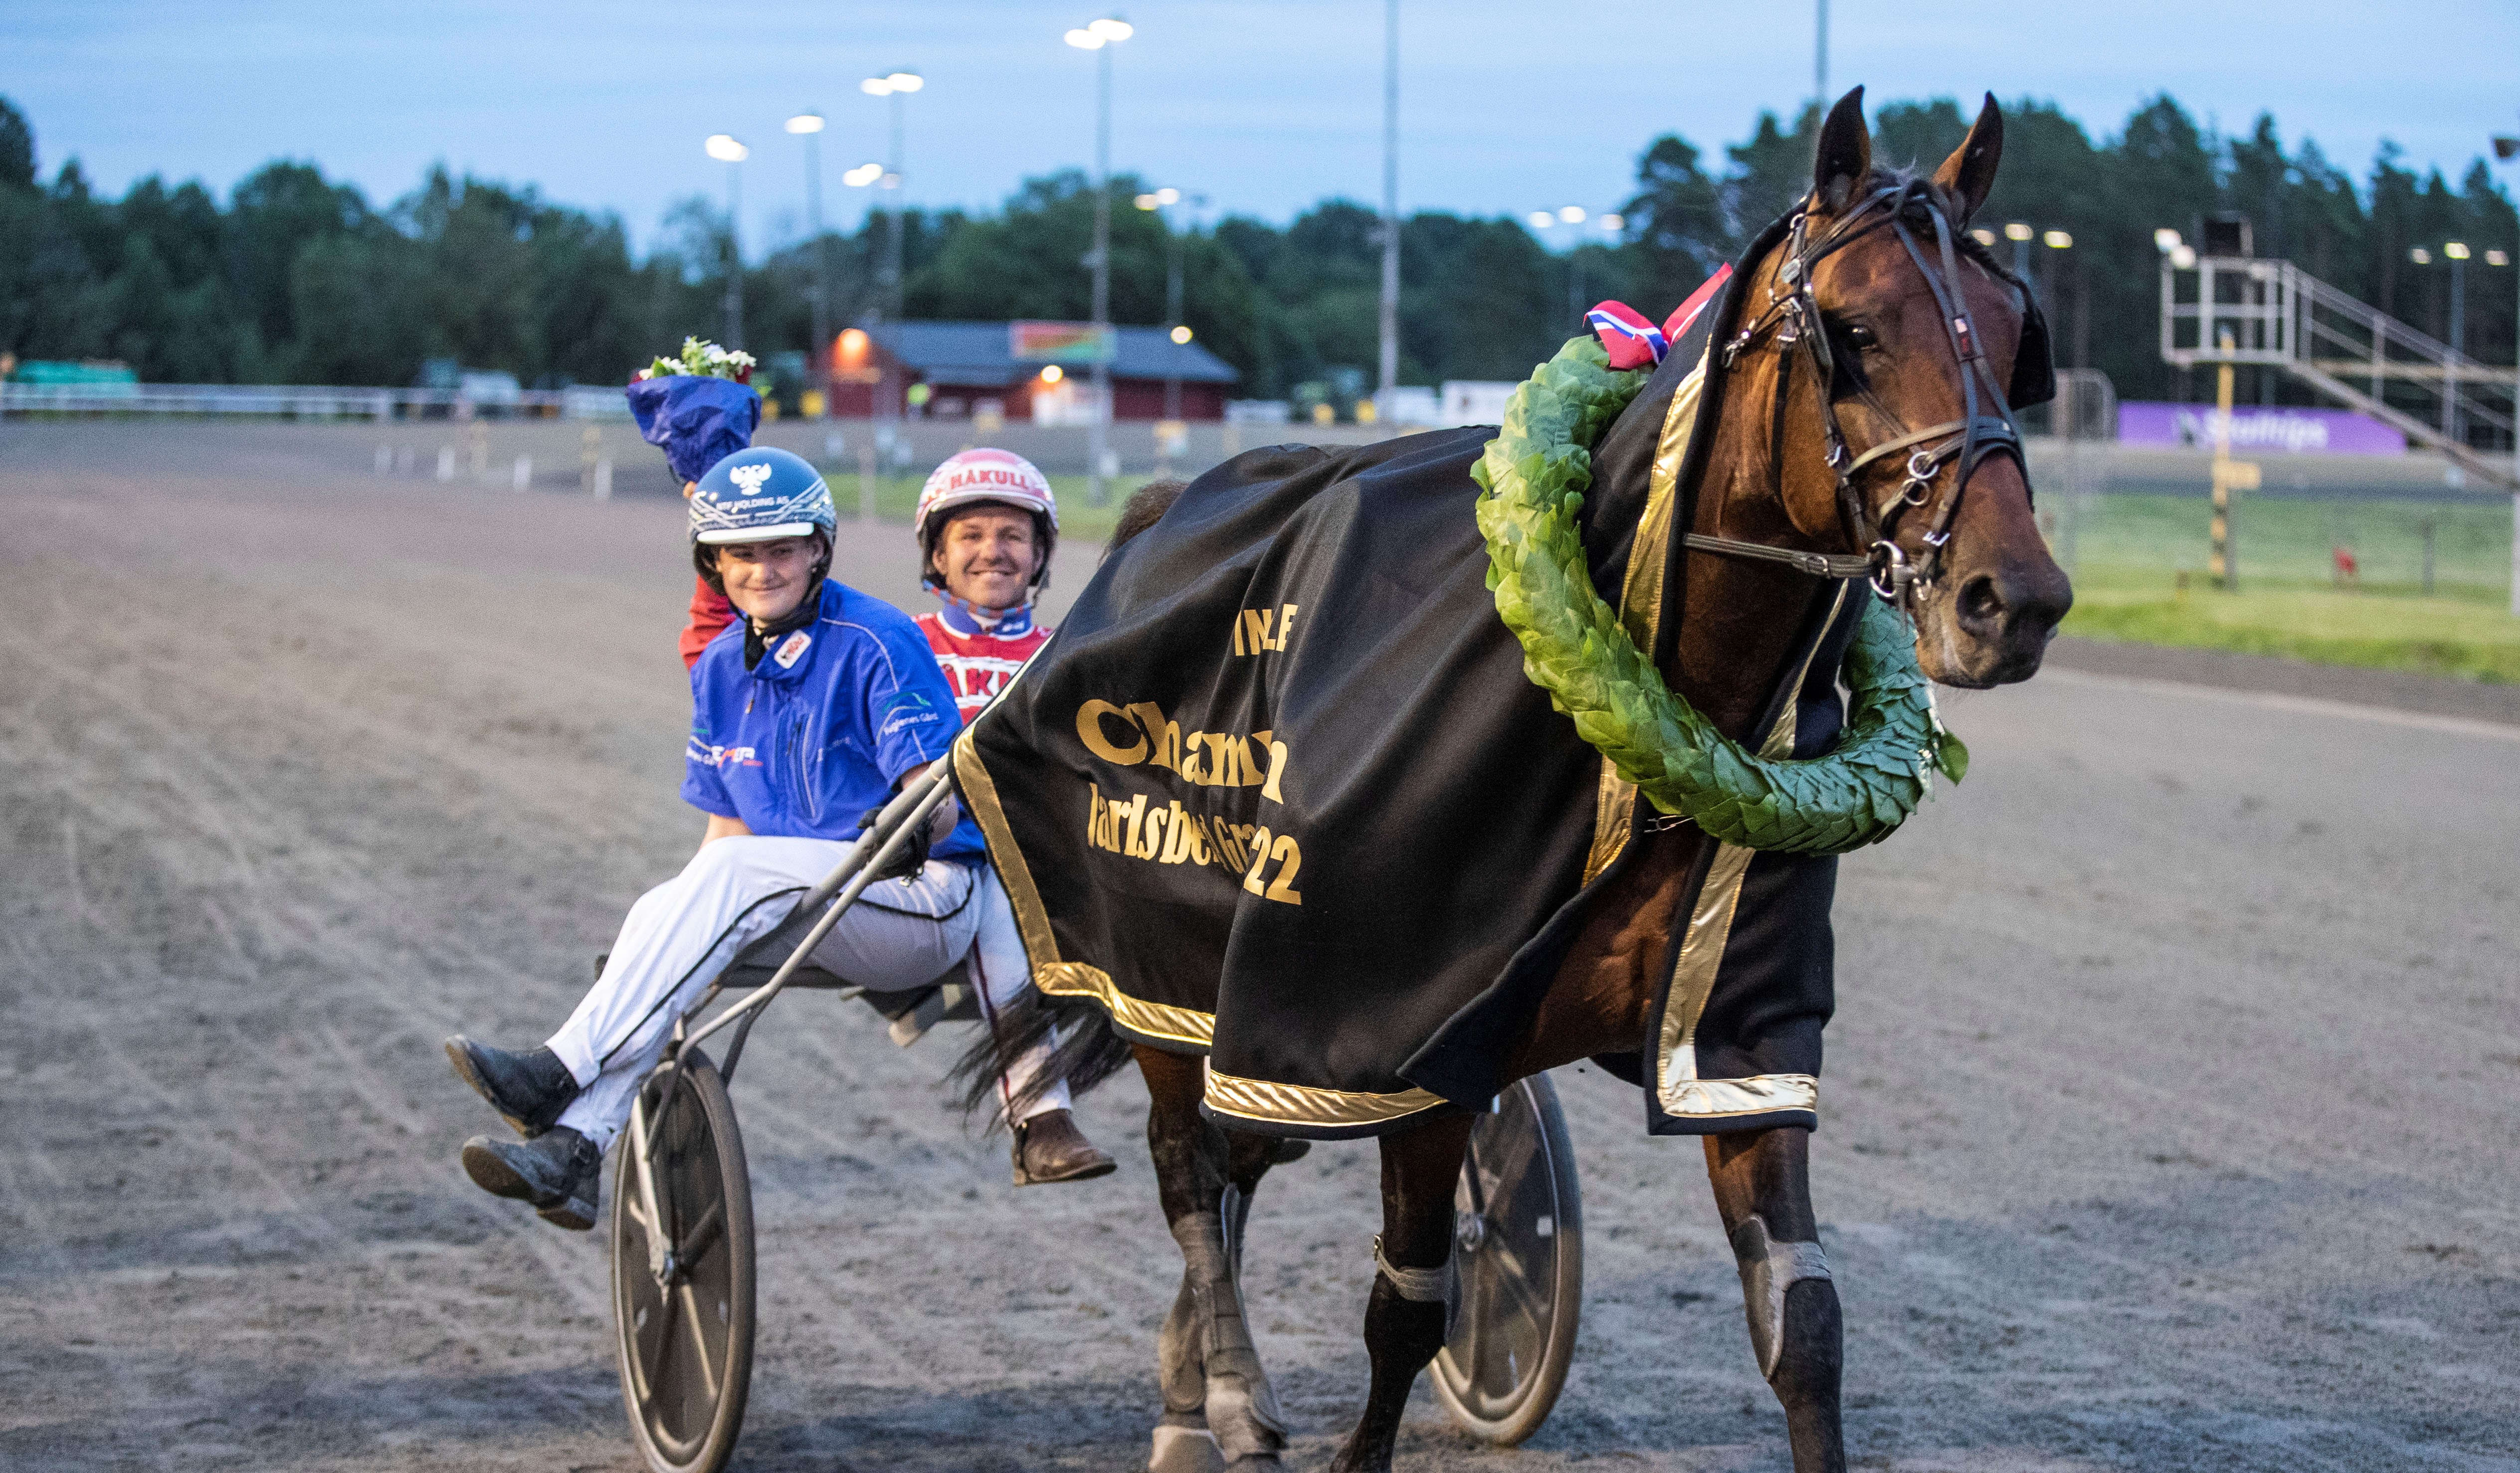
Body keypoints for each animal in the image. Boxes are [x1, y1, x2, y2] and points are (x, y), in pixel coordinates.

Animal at [965, 88, 2070, 1473]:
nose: (2012, 599)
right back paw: (1211, 1402)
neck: (1639, 713)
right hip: (1155, 951)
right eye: (1857, 331)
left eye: (2019, 337)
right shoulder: (1388, 1036)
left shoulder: (1736, 1035)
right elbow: (1403, 1306)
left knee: (1238, 1157)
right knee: (1189, 1165)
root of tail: (1172, 501)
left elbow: (1803, 1321)